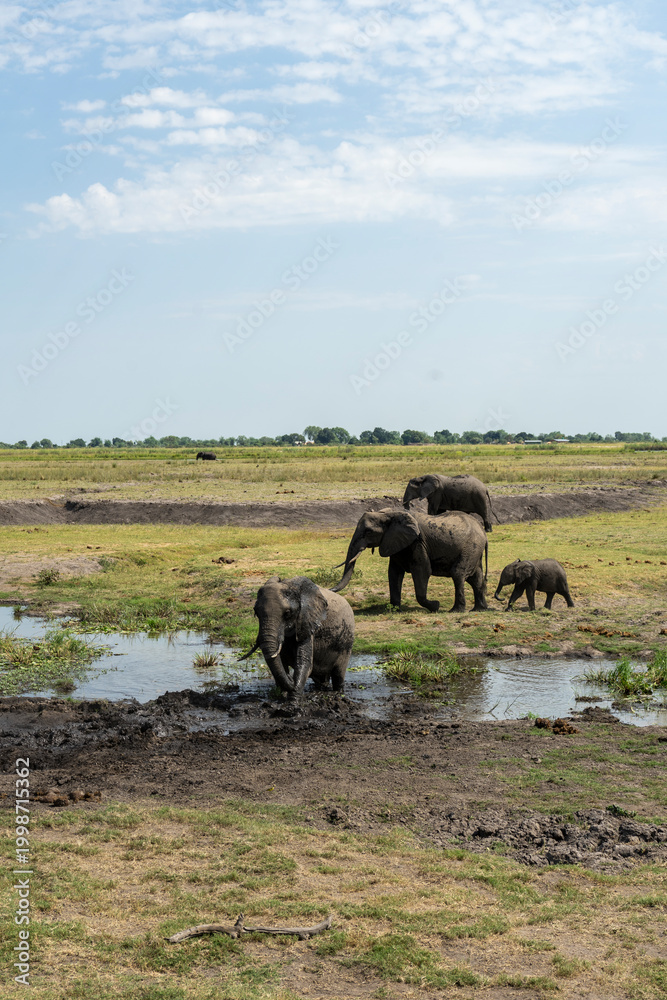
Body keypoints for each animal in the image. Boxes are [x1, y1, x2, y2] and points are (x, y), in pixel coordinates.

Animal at [332, 508, 488, 613]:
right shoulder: (395, 542)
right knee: (475, 578)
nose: (330, 590)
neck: (389, 514)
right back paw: (479, 609)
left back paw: (456, 611)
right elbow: (394, 573)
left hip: (470, 547)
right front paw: (394, 610)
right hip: (474, 550)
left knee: (458, 574)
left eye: (368, 532)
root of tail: (482, 530)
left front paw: (435, 606)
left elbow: (422, 571)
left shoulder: (417, 543)